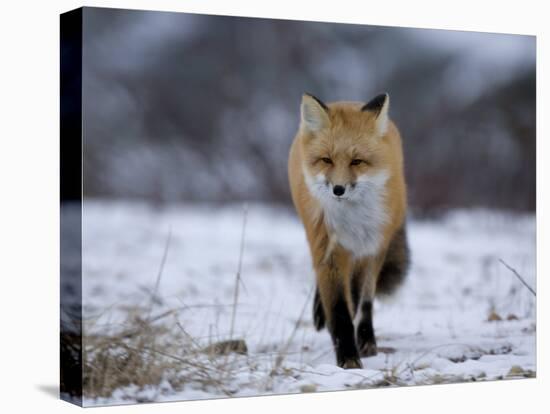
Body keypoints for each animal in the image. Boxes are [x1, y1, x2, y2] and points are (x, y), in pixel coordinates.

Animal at [288, 94, 410, 368]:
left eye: (357, 161)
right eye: (327, 160)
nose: (338, 189)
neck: (351, 220)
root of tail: (347, 100)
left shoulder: (370, 247)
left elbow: (360, 301)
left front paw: (359, 347)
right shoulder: (327, 245)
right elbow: (339, 309)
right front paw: (348, 358)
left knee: (364, 299)